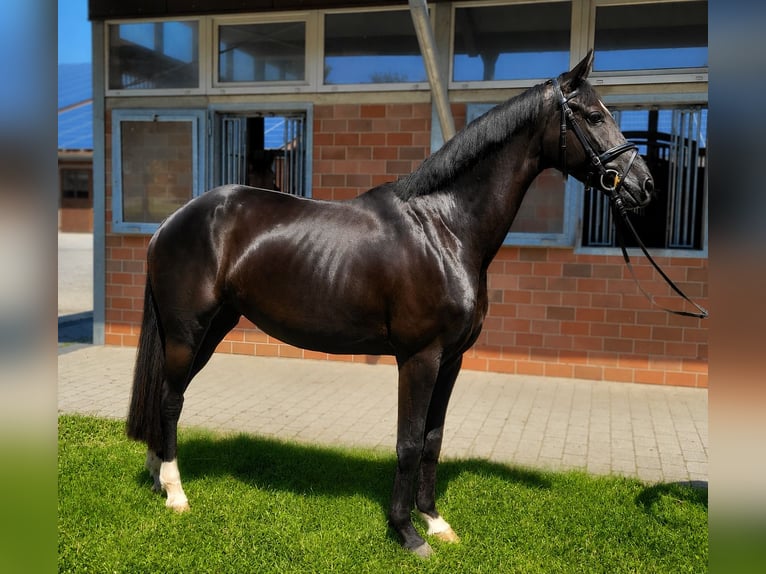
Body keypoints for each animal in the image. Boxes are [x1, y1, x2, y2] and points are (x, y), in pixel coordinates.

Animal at [126, 51, 654, 558]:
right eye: (593, 116)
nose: (643, 185)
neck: (444, 229)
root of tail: (170, 222)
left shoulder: (451, 360)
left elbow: (433, 441)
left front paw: (435, 522)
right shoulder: (419, 358)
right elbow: (408, 442)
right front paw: (407, 533)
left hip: (212, 329)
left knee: (166, 397)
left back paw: (157, 477)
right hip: (188, 332)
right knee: (171, 400)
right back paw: (176, 493)